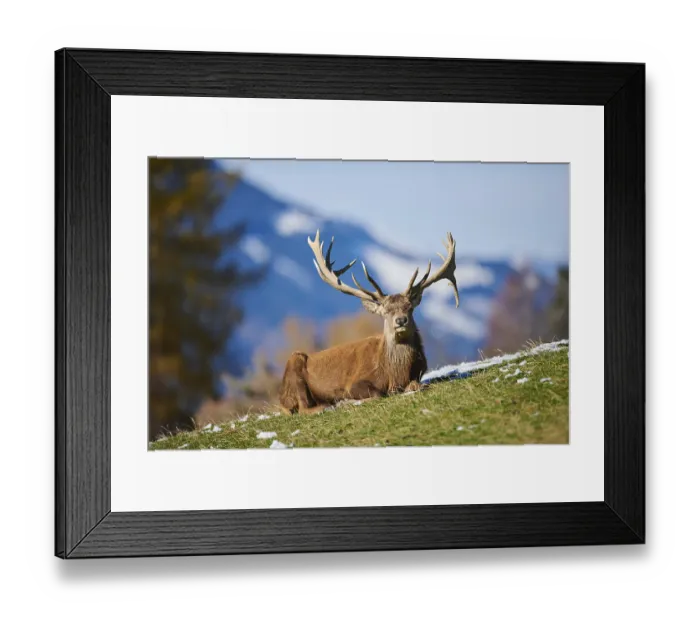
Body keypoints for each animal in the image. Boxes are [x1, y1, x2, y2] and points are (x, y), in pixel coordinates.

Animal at [279, 231, 459, 414]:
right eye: (386, 311)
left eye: (409, 307)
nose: (401, 320)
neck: (395, 374)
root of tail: (281, 399)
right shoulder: (354, 382)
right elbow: (377, 394)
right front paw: (347, 402)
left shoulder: (419, 373)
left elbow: (416, 385)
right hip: (294, 365)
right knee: (304, 408)